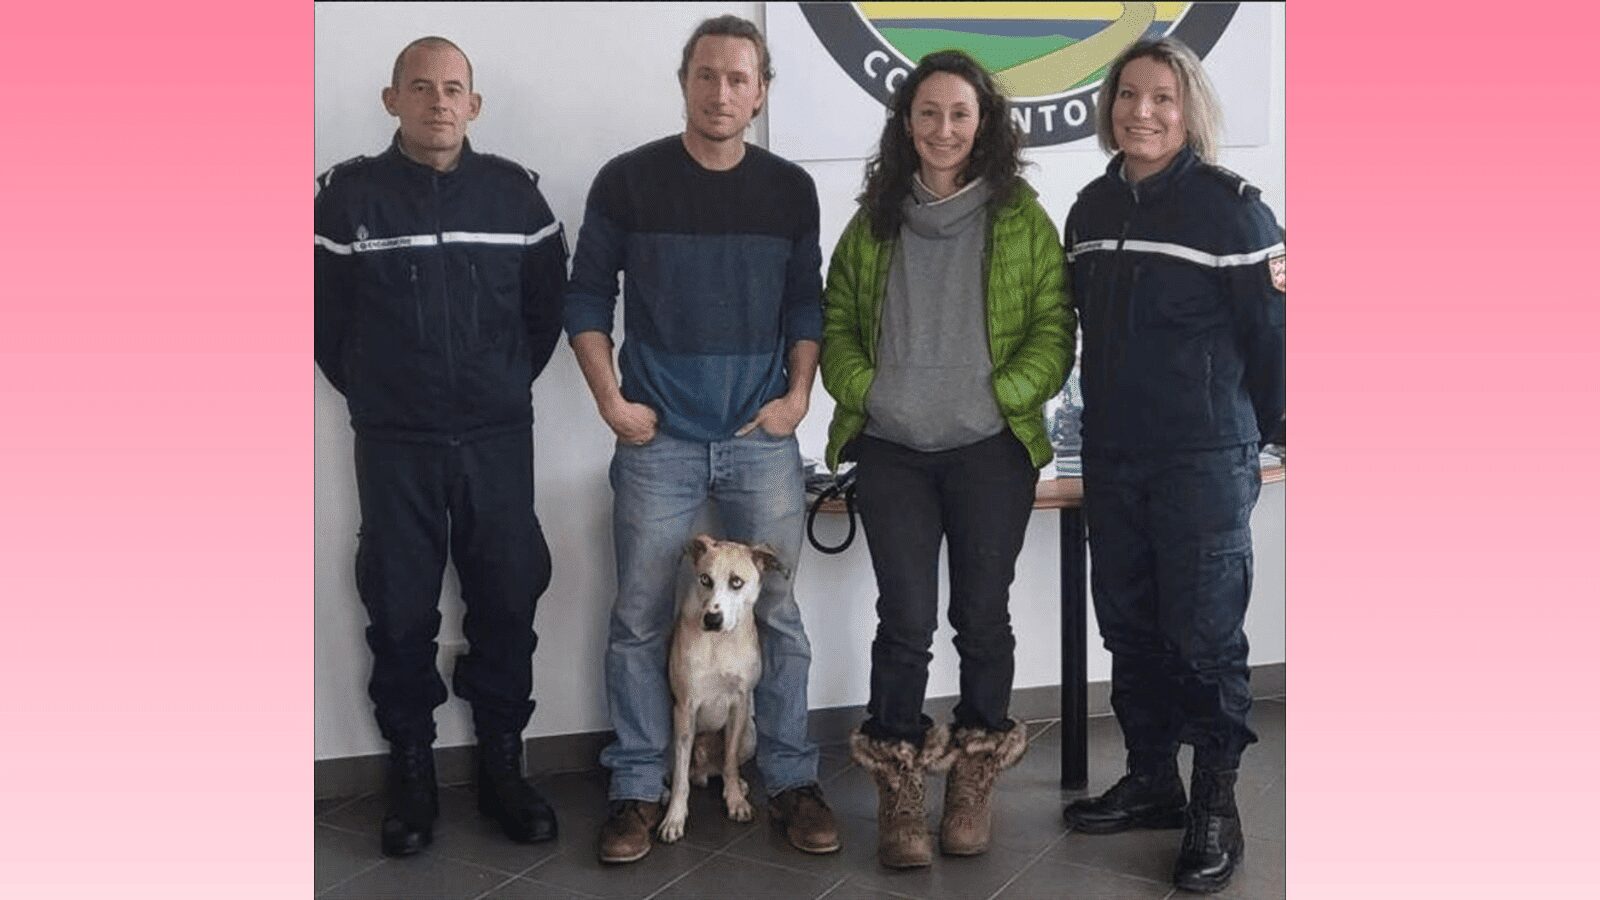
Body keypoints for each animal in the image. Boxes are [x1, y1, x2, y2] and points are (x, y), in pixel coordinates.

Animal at [656, 531, 787, 839]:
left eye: (736, 582)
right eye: (705, 579)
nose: (712, 619)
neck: (720, 643)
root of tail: (702, 771)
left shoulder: (740, 702)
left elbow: (729, 760)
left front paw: (736, 801)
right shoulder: (685, 708)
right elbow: (680, 778)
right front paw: (674, 818)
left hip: (751, 733)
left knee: (725, 766)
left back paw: (738, 784)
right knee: (679, 774)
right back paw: (666, 794)